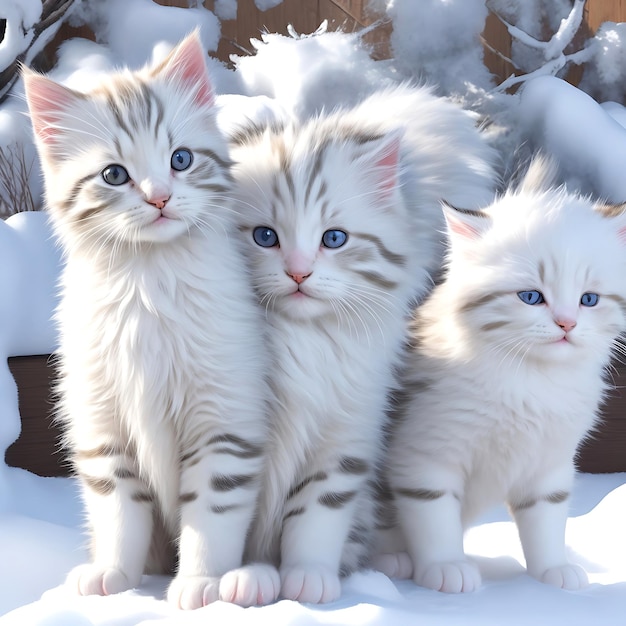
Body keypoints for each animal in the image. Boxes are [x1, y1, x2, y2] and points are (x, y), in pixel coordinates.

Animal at [22, 31, 276, 608]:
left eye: (181, 159)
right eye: (114, 175)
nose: (160, 197)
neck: (148, 281)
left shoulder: (225, 421)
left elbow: (212, 511)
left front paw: (201, 583)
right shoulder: (101, 426)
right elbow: (119, 512)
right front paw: (112, 576)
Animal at [372, 158, 624, 592]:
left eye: (589, 299)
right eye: (531, 297)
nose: (567, 324)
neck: (531, 382)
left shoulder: (550, 463)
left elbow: (546, 521)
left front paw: (552, 571)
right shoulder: (424, 453)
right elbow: (434, 515)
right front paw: (447, 568)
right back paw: (391, 562)